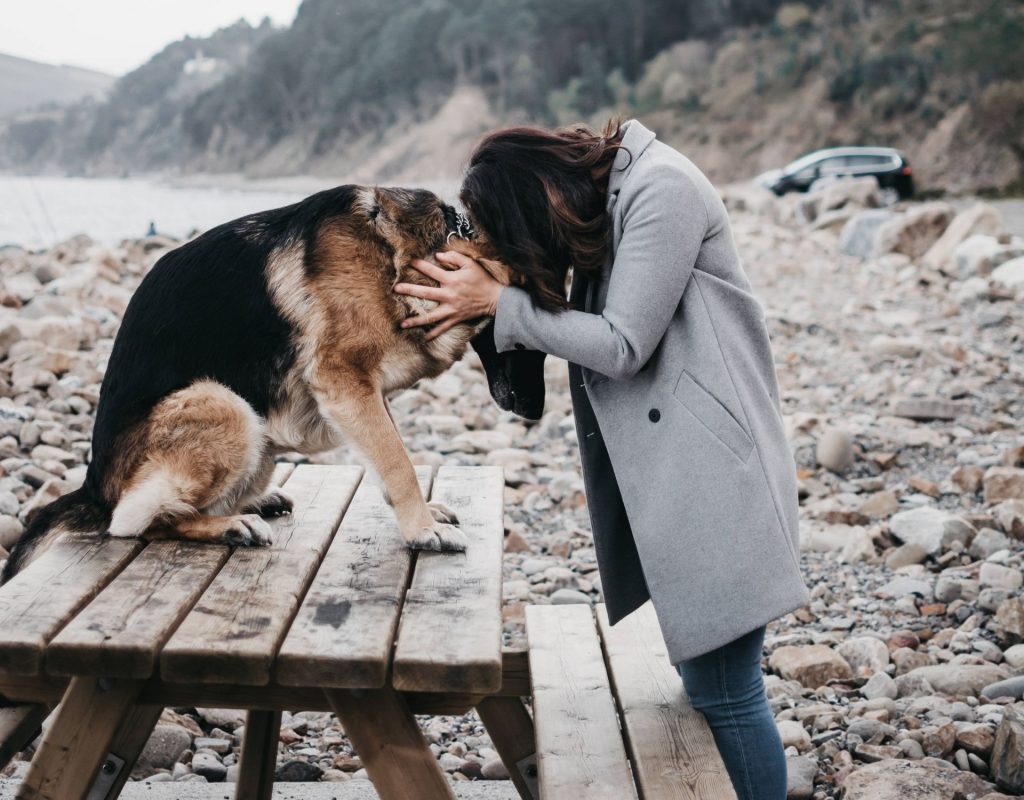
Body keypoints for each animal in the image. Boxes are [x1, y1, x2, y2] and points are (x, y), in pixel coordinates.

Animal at [2, 187, 544, 581]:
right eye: (520, 335)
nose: (535, 414)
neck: (412, 253)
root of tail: (94, 488)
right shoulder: (344, 380)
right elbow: (397, 460)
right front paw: (422, 530)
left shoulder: (365, 393)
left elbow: (392, 456)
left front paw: (420, 513)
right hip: (224, 404)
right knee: (133, 522)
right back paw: (229, 525)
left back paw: (254, 501)